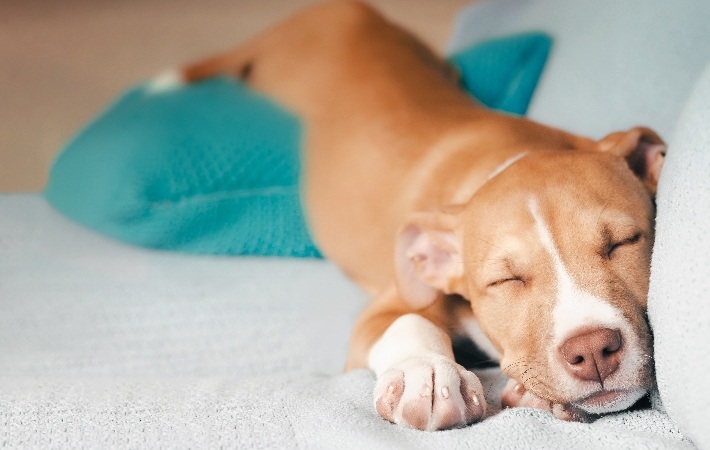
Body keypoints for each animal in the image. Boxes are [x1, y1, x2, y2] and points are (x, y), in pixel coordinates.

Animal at [163, 1, 668, 432]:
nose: (592, 349)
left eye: (624, 242)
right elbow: (409, 321)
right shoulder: (383, 308)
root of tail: (338, 9)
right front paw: (426, 375)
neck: (504, 158)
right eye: (506, 281)